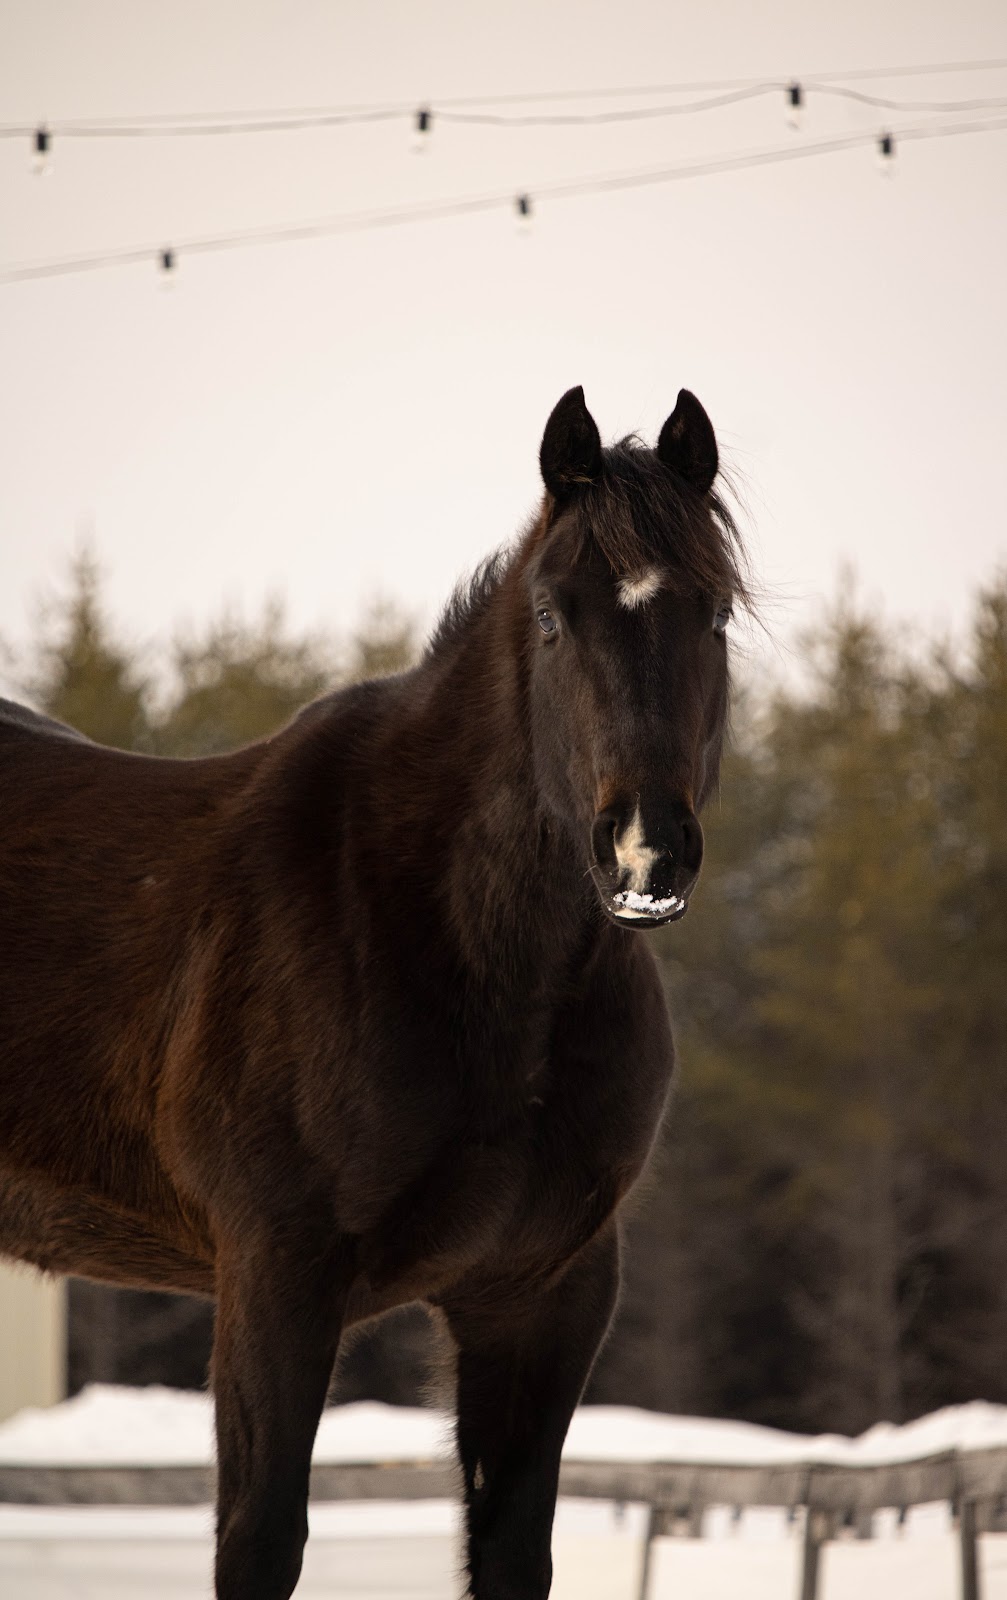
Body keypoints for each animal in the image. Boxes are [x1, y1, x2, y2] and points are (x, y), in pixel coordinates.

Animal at [0, 387, 746, 1600]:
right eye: (552, 614)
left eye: (715, 611)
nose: (644, 852)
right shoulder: (276, 1279)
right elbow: (259, 1541)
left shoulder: (541, 1297)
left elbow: (510, 1551)